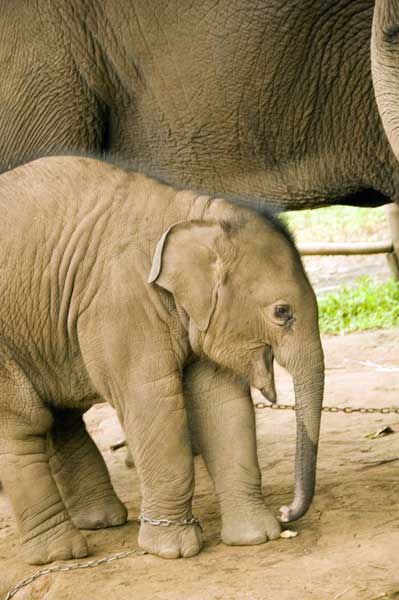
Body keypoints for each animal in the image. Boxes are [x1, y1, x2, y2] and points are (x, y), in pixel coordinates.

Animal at [0, 157, 324, 564]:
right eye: (282, 312)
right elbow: (151, 403)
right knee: (23, 423)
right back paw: (60, 554)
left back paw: (102, 522)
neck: (192, 213)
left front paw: (258, 537)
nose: (287, 512)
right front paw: (173, 550)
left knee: (59, 416)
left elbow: (221, 404)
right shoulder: (121, 303)